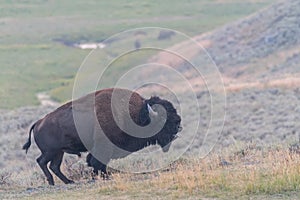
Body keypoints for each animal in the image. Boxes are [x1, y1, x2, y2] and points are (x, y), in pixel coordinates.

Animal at [22, 88, 182, 185]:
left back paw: (69, 182)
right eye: (163, 119)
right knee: (42, 162)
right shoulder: (103, 146)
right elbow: (97, 162)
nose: (178, 127)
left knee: (54, 166)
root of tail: (38, 122)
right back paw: (52, 182)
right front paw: (105, 176)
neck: (136, 114)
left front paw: (99, 175)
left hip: (58, 153)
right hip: (51, 151)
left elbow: (94, 162)